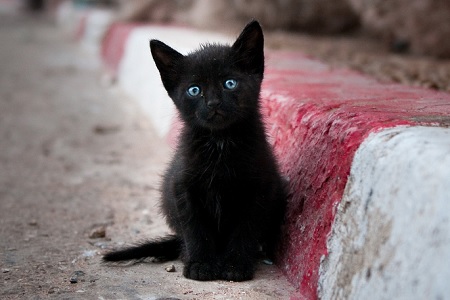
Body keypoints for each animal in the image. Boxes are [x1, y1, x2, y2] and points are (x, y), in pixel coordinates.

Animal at [103, 19, 286, 282]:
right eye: (194, 90)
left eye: (229, 83)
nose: (213, 103)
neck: (220, 142)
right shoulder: (182, 187)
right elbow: (195, 228)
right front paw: (200, 264)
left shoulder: (259, 188)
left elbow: (246, 228)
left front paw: (235, 265)